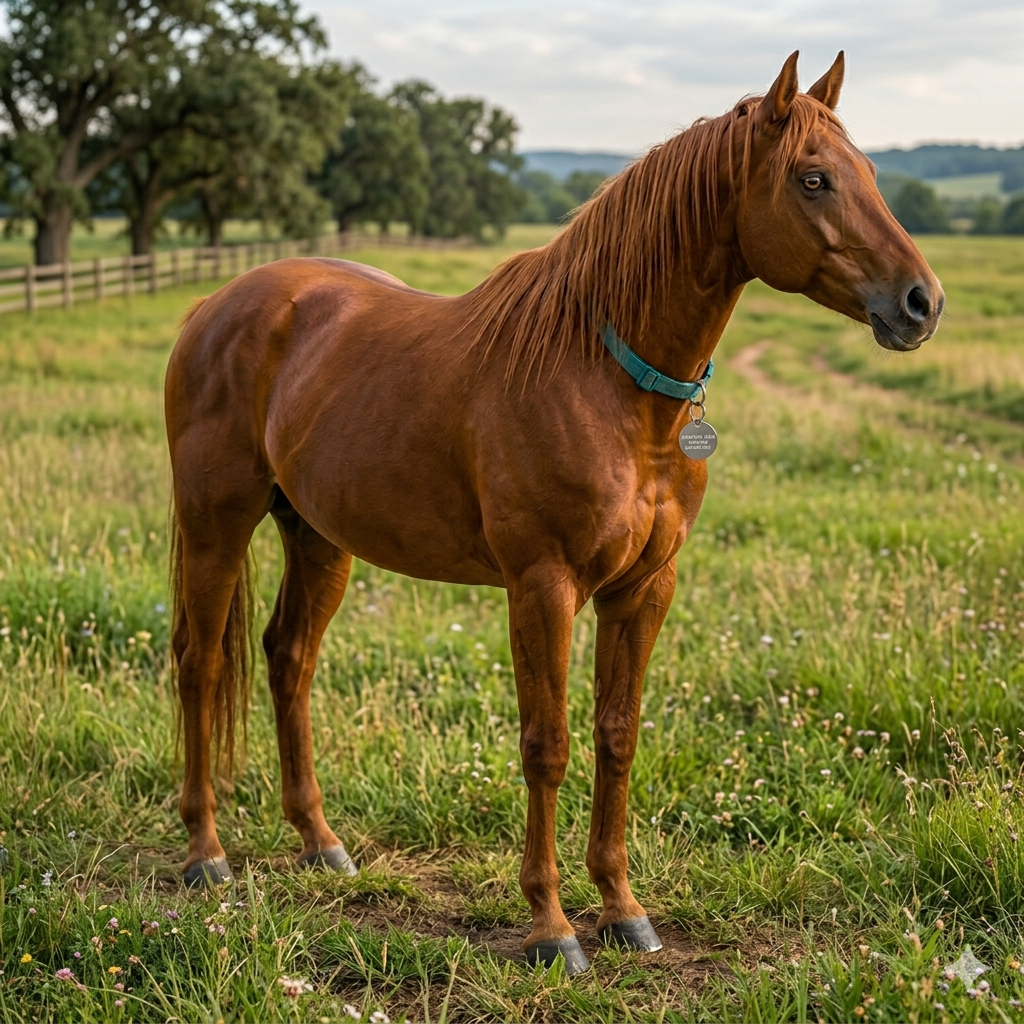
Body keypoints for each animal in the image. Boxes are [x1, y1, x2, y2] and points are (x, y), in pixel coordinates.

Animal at [165, 51, 943, 973]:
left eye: (870, 174)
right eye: (813, 178)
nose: (921, 302)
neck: (601, 377)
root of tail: (218, 305)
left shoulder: (643, 591)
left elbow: (617, 735)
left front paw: (622, 909)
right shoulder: (543, 587)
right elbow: (548, 744)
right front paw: (551, 926)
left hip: (318, 536)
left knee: (289, 660)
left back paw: (321, 843)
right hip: (216, 521)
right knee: (199, 663)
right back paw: (205, 853)